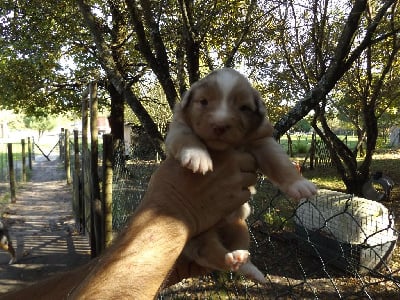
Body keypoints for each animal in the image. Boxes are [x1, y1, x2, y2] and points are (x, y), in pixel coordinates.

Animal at [165, 68, 316, 284]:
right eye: (203, 101)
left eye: (244, 107)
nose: (220, 125)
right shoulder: (177, 129)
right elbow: (188, 138)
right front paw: (198, 156)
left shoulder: (262, 141)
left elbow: (279, 162)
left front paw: (299, 184)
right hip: (197, 235)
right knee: (207, 252)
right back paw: (230, 258)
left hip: (239, 225)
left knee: (236, 249)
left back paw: (245, 264)